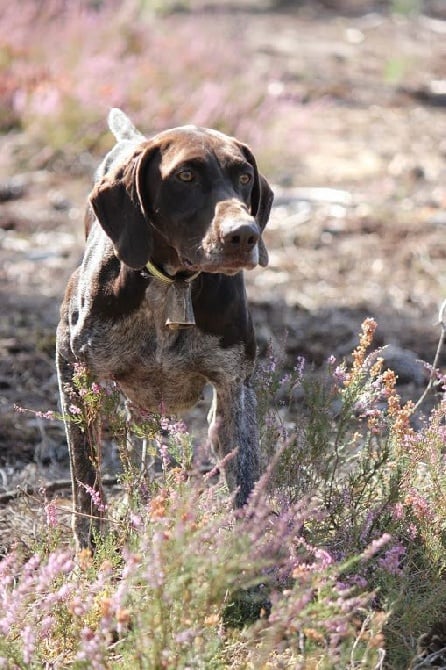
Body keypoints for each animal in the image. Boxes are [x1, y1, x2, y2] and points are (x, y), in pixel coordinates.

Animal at [55, 109, 272, 552]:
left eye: (244, 177)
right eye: (186, 175)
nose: (244, 235)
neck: (172, 284)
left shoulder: (234, 387)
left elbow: (245, 476)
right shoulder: (72, 366)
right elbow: (85, 475)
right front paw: (91, 549)